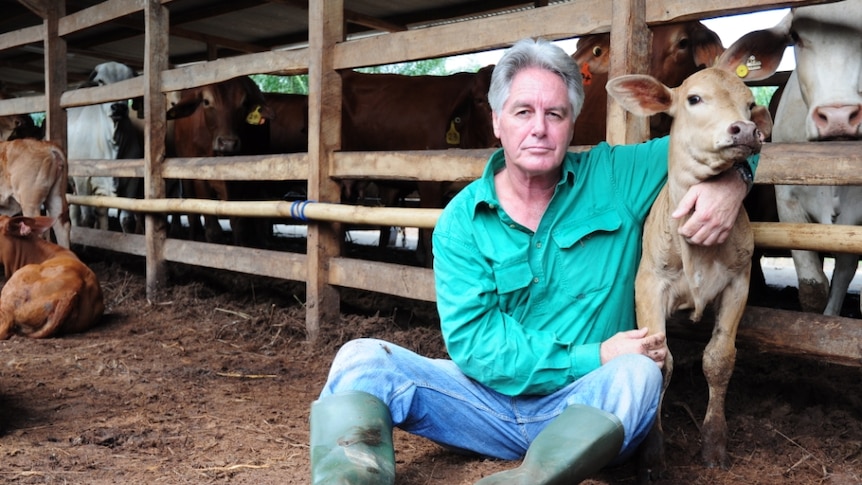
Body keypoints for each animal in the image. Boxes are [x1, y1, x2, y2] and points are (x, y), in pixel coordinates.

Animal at [67, 61, 138, 231]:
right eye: (101, 82)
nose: (118, 108)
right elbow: (87, 219)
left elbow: (127, 220)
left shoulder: (132, 183)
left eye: (129, 81)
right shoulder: (82, 180)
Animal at [608, 54, 776, 478]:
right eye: (694, 98)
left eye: (749, 104)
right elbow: (658, 360)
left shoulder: (738, 282)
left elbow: (719, 358)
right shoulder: (649, 284)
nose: (746, 130)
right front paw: (652, 453)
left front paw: (714, 443)